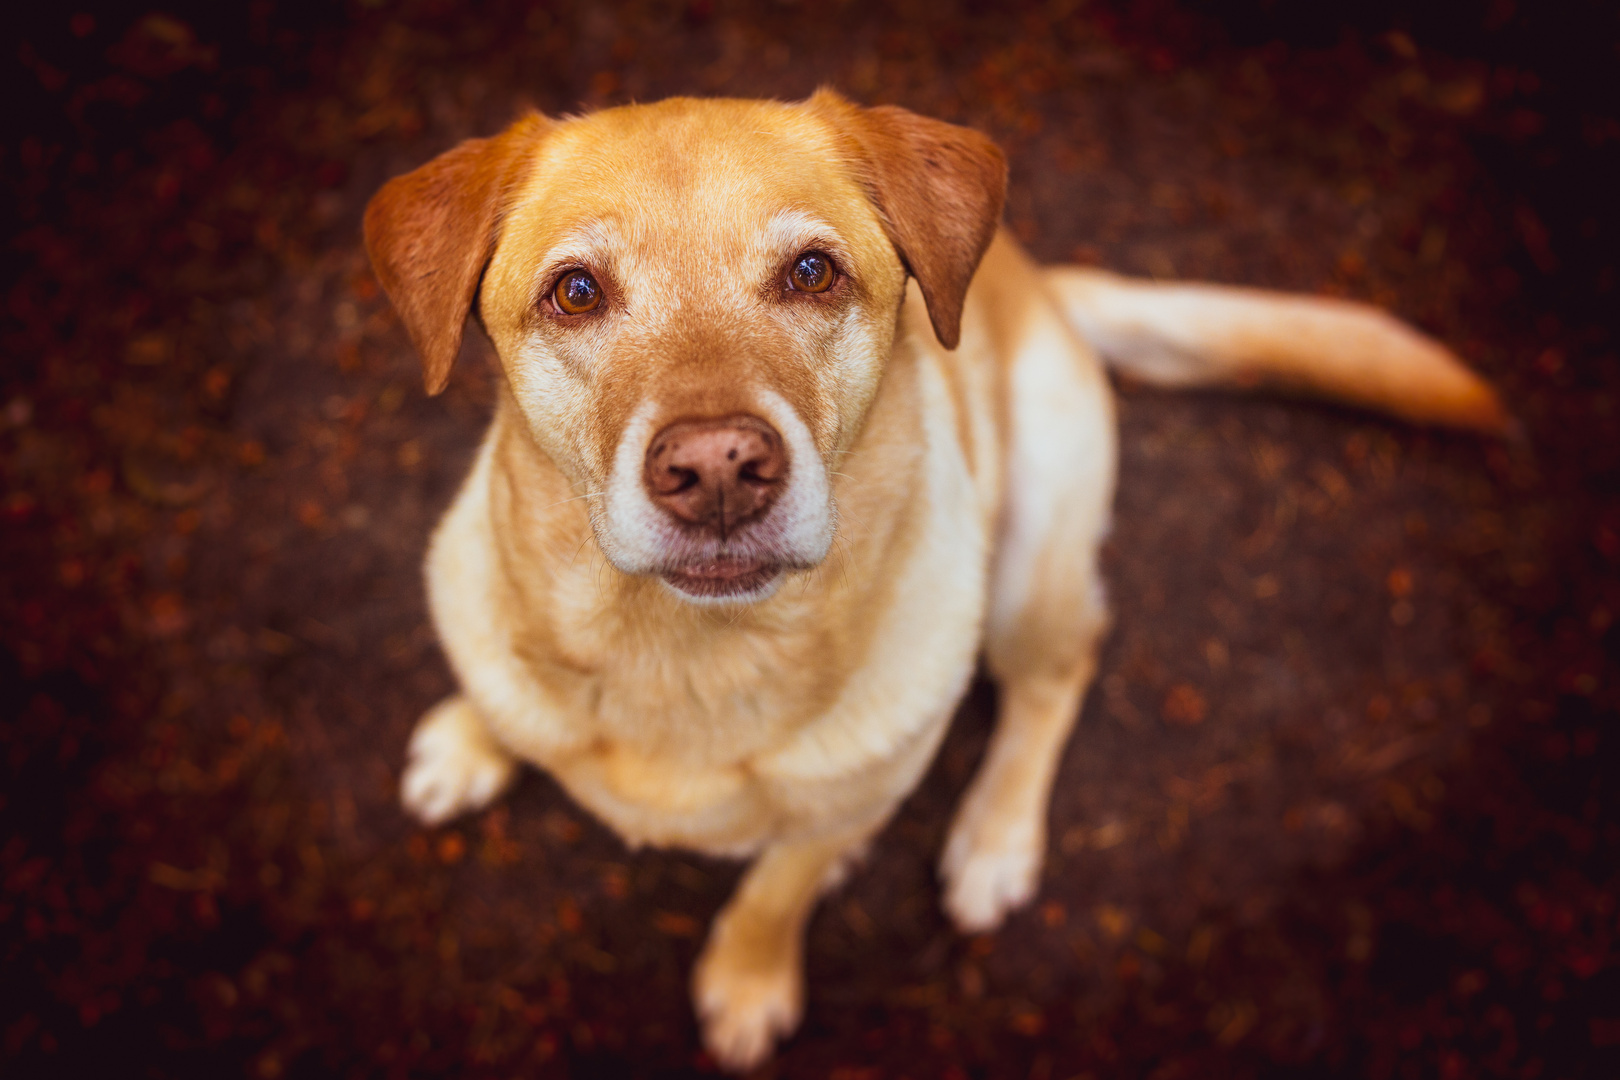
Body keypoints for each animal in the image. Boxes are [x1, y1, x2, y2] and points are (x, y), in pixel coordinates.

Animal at [364, 90, 1503, 1062]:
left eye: (812, 273)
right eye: (576, 292)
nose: (719, 469)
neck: (685, 658)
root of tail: (1039, 287)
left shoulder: (854, 798)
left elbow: (779, 886)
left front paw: (748, 981)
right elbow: (508, 697)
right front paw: (473, 738)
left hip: (1032, 560)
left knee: (1060, 670)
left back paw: (994, 842)